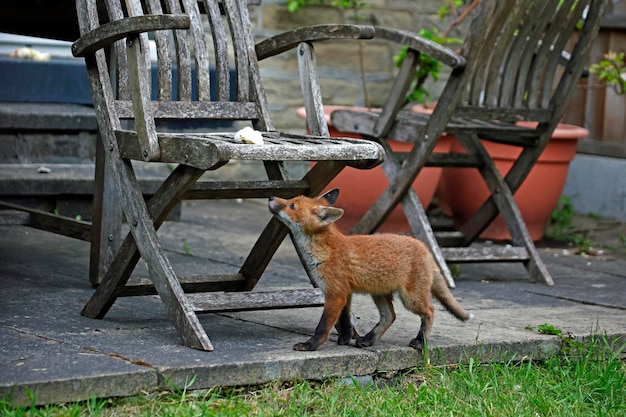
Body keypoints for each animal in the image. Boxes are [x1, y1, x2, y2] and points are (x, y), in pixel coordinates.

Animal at [266, 189, 468, 352]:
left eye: (292, 205)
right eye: (292, 199)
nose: (270, 197)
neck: (326, 250)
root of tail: (424, 247)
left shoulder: (335, 293)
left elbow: (323, 326)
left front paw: (310, 345)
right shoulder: (345, 293)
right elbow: (345, 320)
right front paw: (345, 339)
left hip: (411, 299)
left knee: (430, 311)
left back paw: (420, 341)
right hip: (379, 293)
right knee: (390, 316)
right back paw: (369, 339)